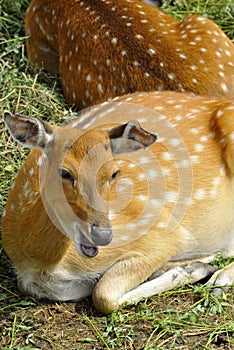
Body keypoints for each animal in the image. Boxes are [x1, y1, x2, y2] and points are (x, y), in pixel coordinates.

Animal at [1, 91, 234, 314]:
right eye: (64, 172)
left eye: (114, 172)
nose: (102, 234)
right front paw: (191, 267)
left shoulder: (161, 232)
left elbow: (103, 295)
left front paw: (193, 269)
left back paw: (219, 279)